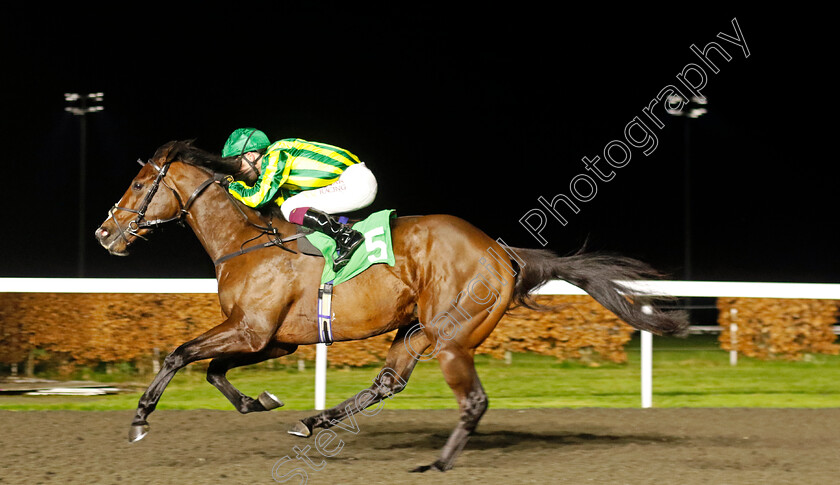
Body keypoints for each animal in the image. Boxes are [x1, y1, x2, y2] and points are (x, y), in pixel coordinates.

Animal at [95, 139, 684, 468]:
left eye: (140, 184)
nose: (104, 233)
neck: (247, 241)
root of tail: (501, 251)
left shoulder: (252, 330)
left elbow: (180, 354)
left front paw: (140, 419)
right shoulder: (273, 340)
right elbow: (214, 369)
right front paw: (261, 401)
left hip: (452, 333)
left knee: (463, 397)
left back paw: (430, 459)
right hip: (415, 329)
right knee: (388, 382)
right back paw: (315, 421)